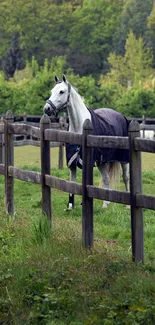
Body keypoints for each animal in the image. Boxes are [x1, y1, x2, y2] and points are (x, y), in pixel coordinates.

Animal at [43, 75, 129, 209]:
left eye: (61, 91)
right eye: (52, 91)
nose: (47, 109)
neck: (79, 127)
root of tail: (121, 116)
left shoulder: (87, 162)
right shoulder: (72, 163)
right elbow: (72, 183)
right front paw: (70, 206)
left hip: (123, 159)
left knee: (125, 178)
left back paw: (127, 205)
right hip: (102, 162)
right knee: (106, 179)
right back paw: (105, 204)